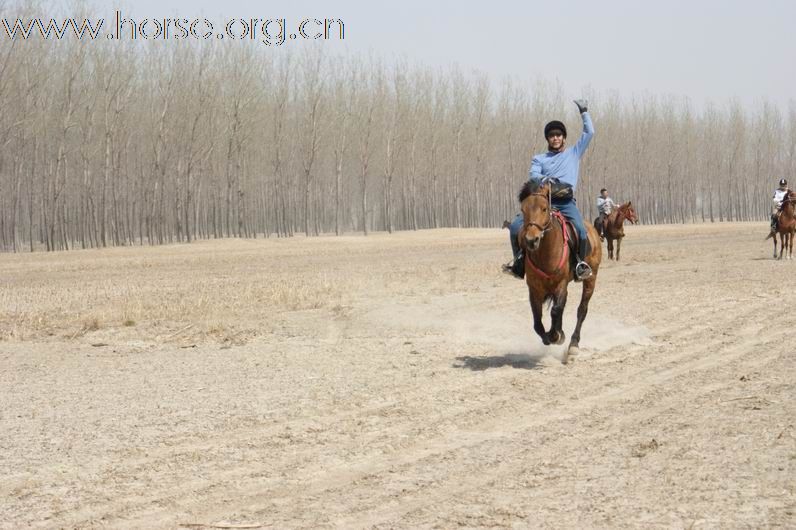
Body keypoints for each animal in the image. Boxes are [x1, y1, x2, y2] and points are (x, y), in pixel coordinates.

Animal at [520, 179, 600, 360]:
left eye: (544, 208)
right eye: (523, 209)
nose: (531, 240)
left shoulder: (561, 284)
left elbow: (556, 310)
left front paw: (557, 335)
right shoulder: (534, 288)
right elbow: (537, 320)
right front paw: (548, 336)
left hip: (591, 279)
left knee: (581, 310)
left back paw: (573, 344)